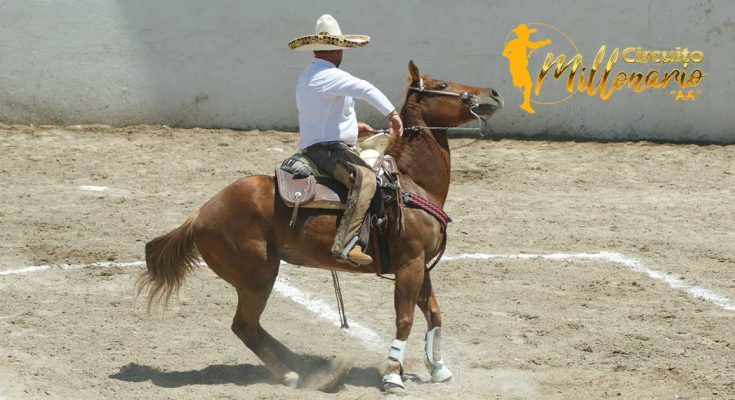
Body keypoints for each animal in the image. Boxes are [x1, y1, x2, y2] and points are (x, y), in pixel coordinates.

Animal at [138, 61, 504, 392]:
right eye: (441, 85)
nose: (494, 93)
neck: (412, 182)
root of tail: (200, 213)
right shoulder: (410, 264)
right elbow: (406, 319)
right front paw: (392, 376)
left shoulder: (421, 266)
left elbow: (435, 314)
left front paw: (438, 368)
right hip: (257, 277)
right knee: (245, 326)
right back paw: (292, 374)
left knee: (251, 327)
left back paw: (309, 367)